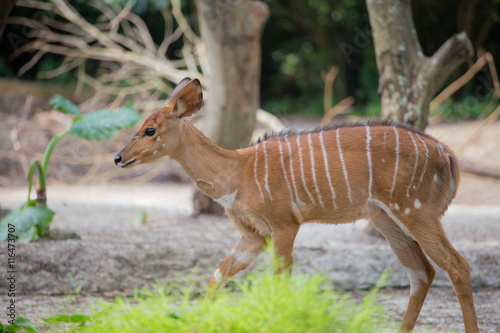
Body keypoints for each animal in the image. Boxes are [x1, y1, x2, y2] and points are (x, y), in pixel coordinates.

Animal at [115, 78, 478, 332]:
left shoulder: (284, 225)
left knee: (456, 265)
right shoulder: (254, 236)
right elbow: (217, 275)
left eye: (150, 130)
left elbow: (279, 281)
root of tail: (447, 154)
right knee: (422, 272)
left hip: (417, 212)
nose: (118, 158)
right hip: (387, 220)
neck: (238, 172)